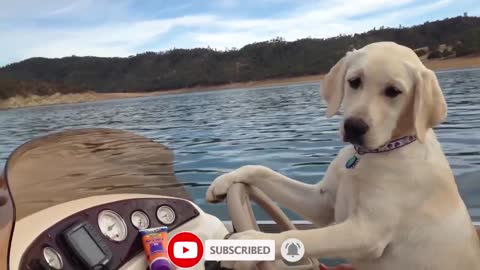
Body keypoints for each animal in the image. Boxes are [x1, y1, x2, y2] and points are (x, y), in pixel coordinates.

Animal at [206, 41, 480, 268]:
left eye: (394, 91)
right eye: (354, 81)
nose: (354, 127)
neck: (370, 155)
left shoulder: (367, 232)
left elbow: (303, 235)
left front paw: (247, 243)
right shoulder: (320, 202)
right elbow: (263, 170)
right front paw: (224, 180)